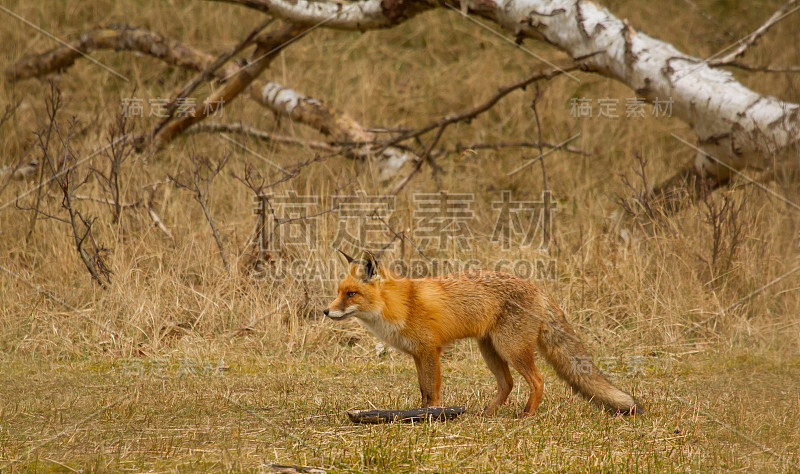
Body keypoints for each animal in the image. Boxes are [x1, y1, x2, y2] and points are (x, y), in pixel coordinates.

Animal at [322, 250, 640, 416]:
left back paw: (527, 415)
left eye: (351, 294)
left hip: (511, 349)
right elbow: (423, 391)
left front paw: (430, 417)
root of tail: (537, 288)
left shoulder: (430, 351)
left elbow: (432, 391)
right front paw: (420, 414)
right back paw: (488, 414)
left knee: (537, 380)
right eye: (338, 292)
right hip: (490, 350)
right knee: (508, 384)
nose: (326, 311)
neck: (400, 304)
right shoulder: (417, 354)